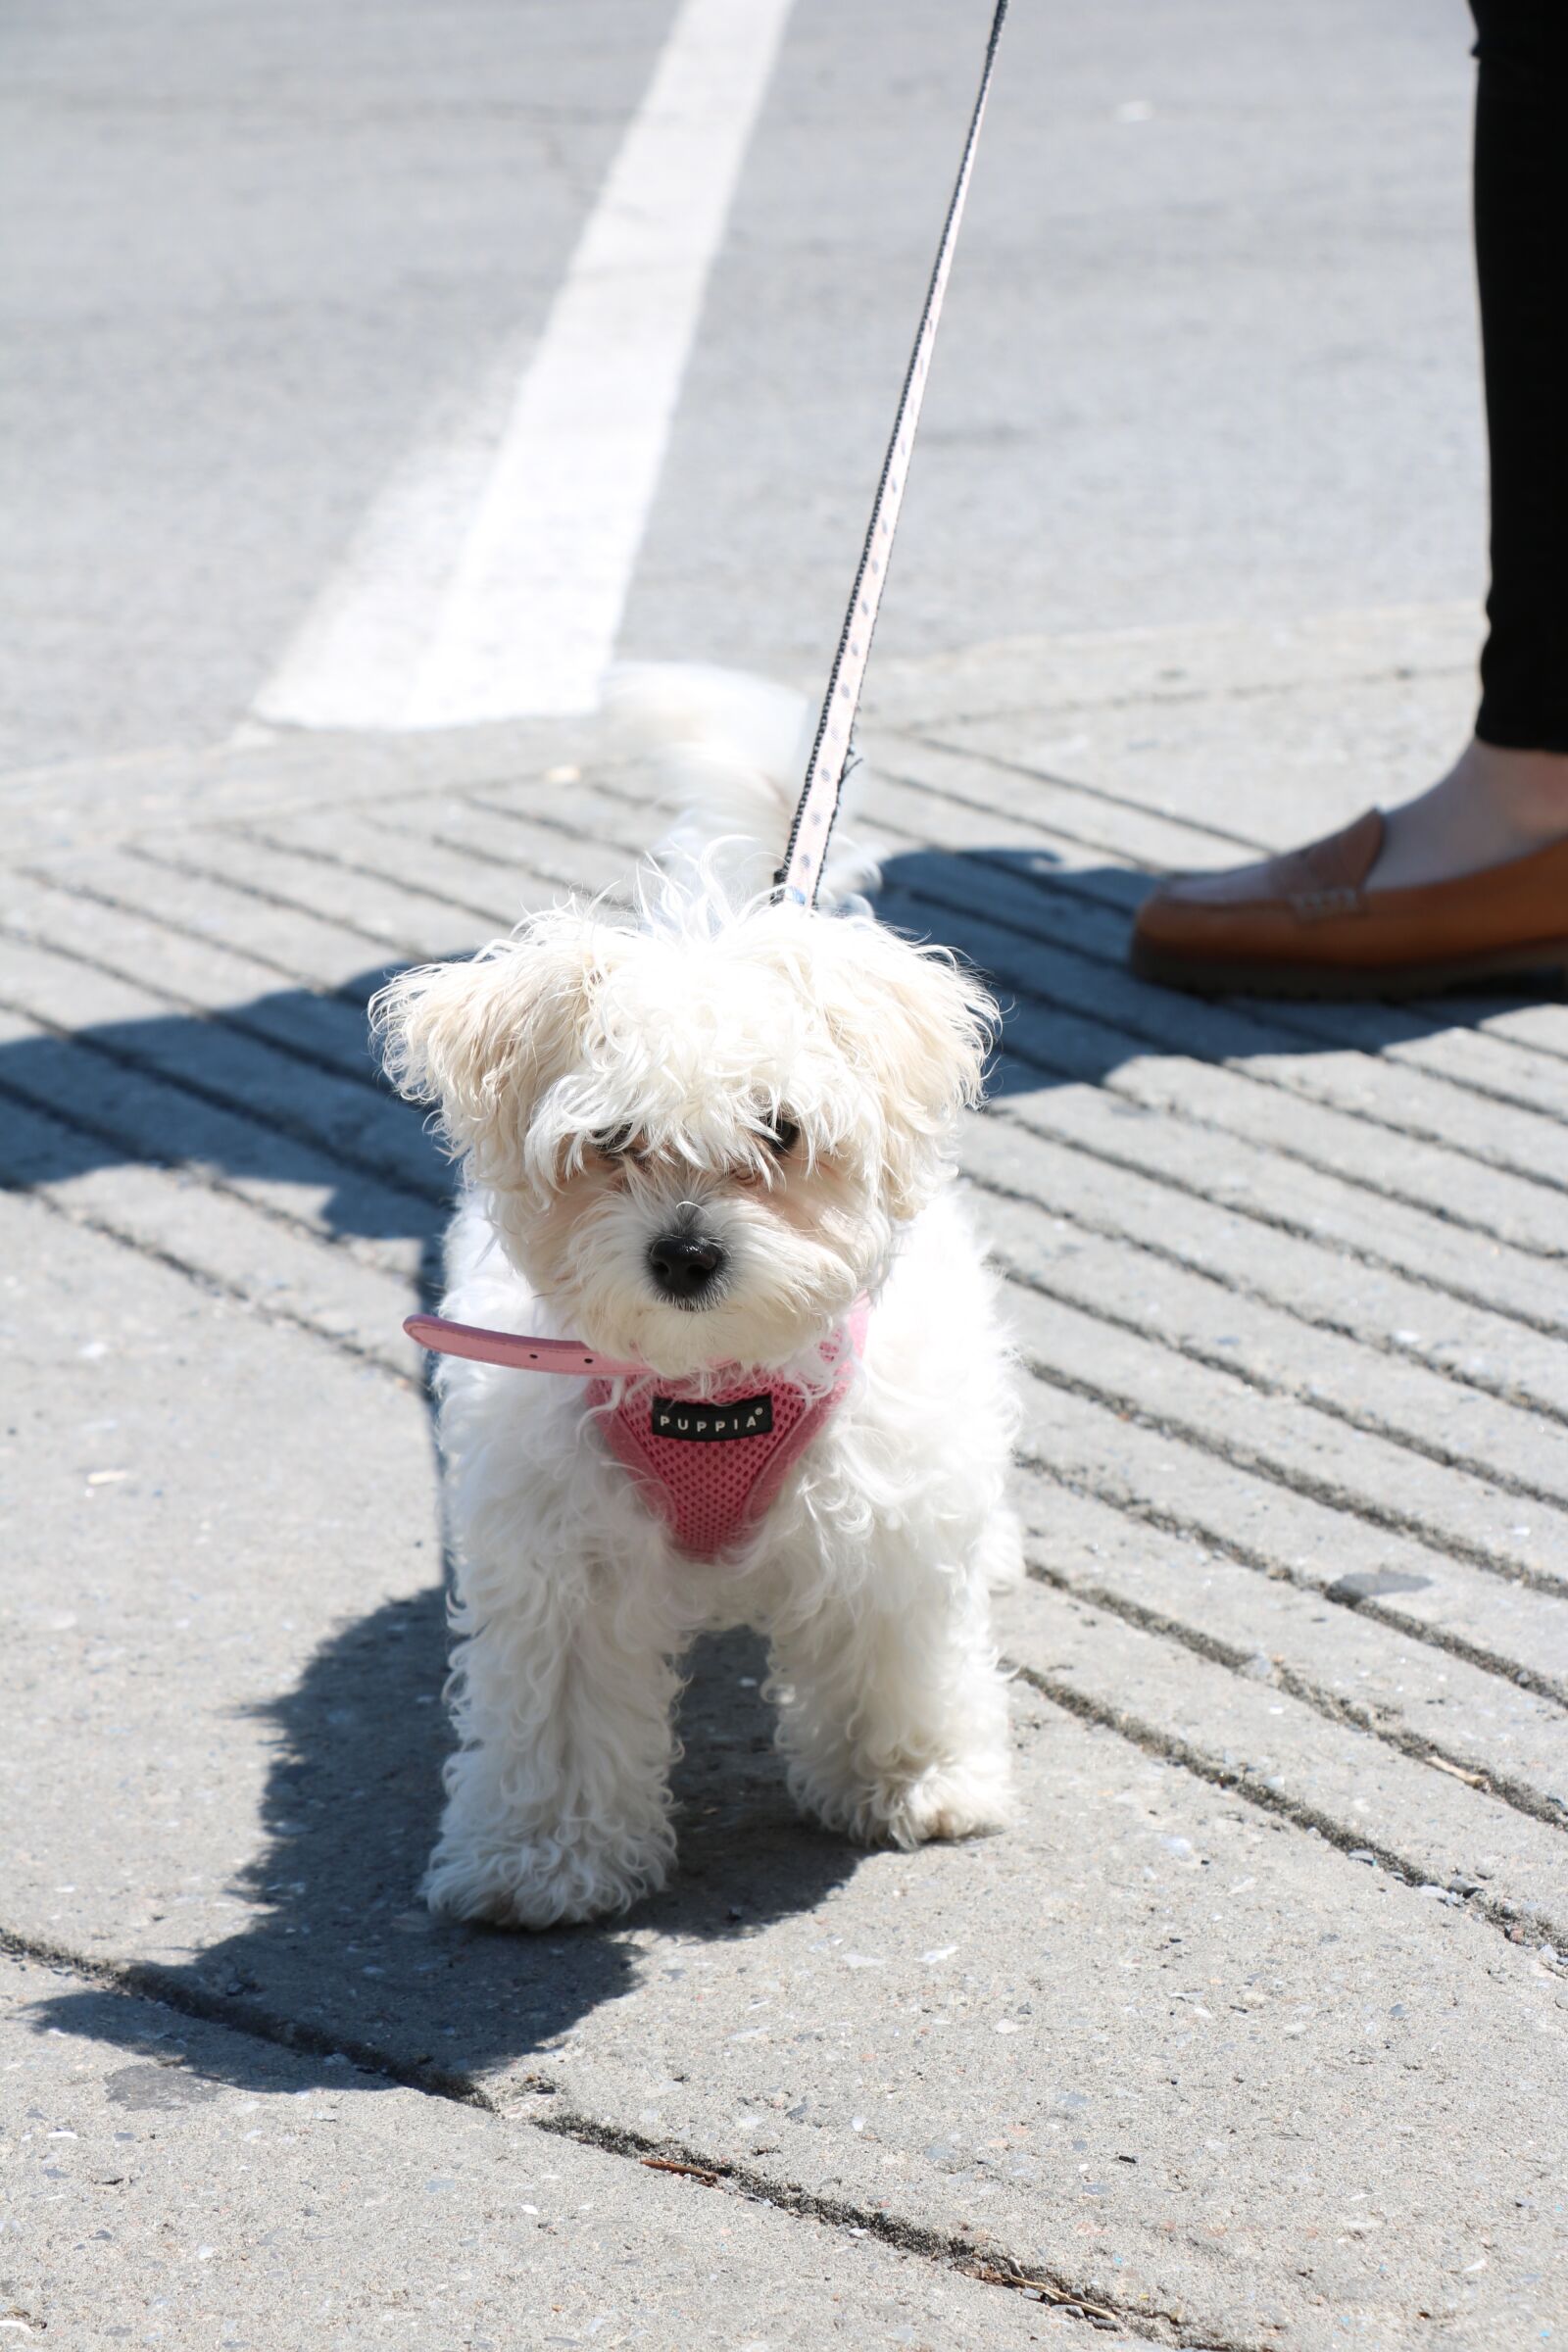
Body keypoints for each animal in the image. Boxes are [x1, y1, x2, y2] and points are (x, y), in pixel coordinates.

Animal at [373, 672, 1024, 1919]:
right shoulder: (563, 1556)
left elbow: (892, 1650)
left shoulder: (883, 1518)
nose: (686, 1255)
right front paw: (544, 1861)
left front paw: (910, 1776)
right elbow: (562, 1717)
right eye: (612, 1141)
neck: (713, 1387)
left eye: (781, 1130)